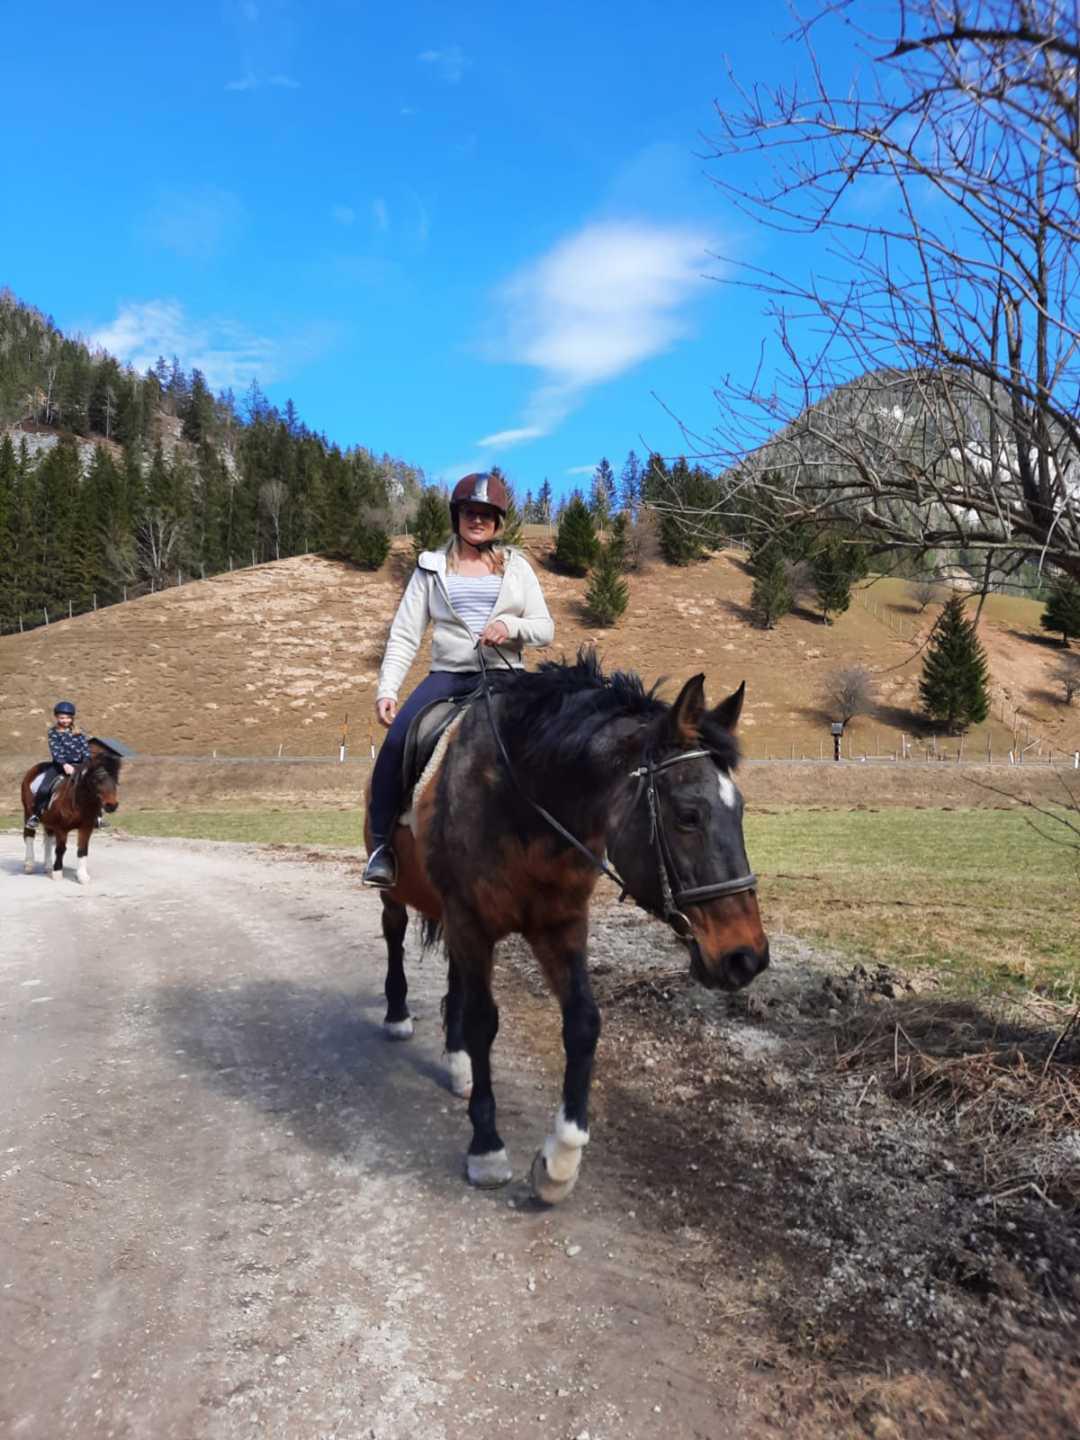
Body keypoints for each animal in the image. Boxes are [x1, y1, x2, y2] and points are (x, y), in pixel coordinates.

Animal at [21, 748, 122, 881]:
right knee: (29, 836)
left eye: (115, 779)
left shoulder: (86, 827)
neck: (79, 802)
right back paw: (29, 865)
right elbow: (60, 849)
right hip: (28, 813)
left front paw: (82, 876)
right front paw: (58, 873)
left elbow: (82, 850)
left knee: (48, 838)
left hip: (49, 821)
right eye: (97, 779)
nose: (112, 805)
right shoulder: (61, 828)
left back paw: (48, 867)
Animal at [365, 653, 771, 1203]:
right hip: (400, 895)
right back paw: (397, 1015)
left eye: (742, 810)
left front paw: (560, 1159)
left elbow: (583, 1023)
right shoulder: (472, 920)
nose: (746, 956)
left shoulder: (558, 924)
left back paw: (458, 1062)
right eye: (688, 815)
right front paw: (487, 1148)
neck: (522, 802)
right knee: (394, 934)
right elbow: (484, 1021)